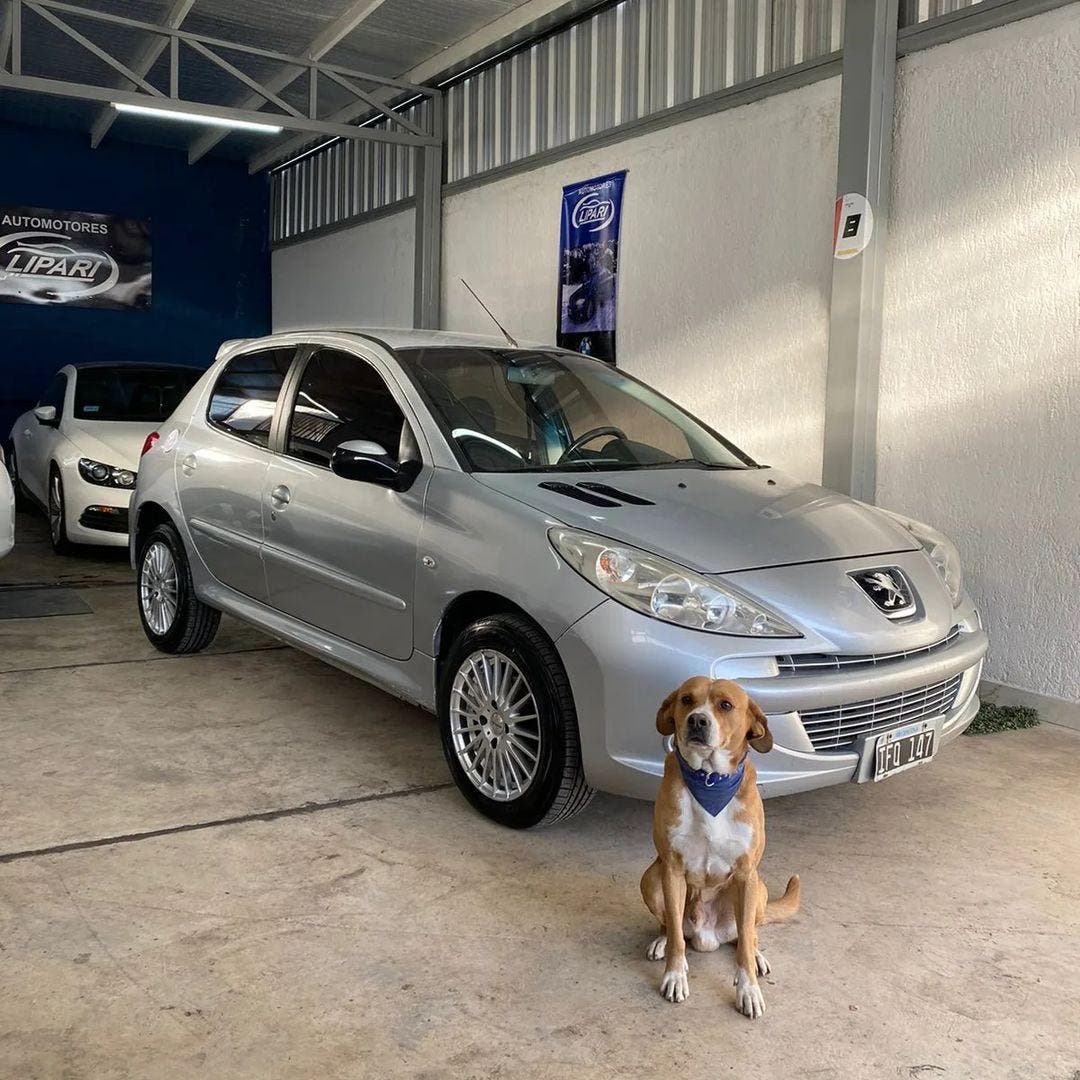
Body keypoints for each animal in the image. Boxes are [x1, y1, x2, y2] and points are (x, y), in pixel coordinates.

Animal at [639, 678, 803, 1015]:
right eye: (686, 700)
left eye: (725, 705)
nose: (697, 721)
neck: (709, 780)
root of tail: (708, 936)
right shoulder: (671, 869)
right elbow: (676, 937)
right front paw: (675, 975)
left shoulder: (746, 873)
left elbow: (744, 951)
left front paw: (748, 990)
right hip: (651, 878)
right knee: (671, 927)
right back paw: (661, 941)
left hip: (758, 889)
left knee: (747, 935)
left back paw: (755, 953)